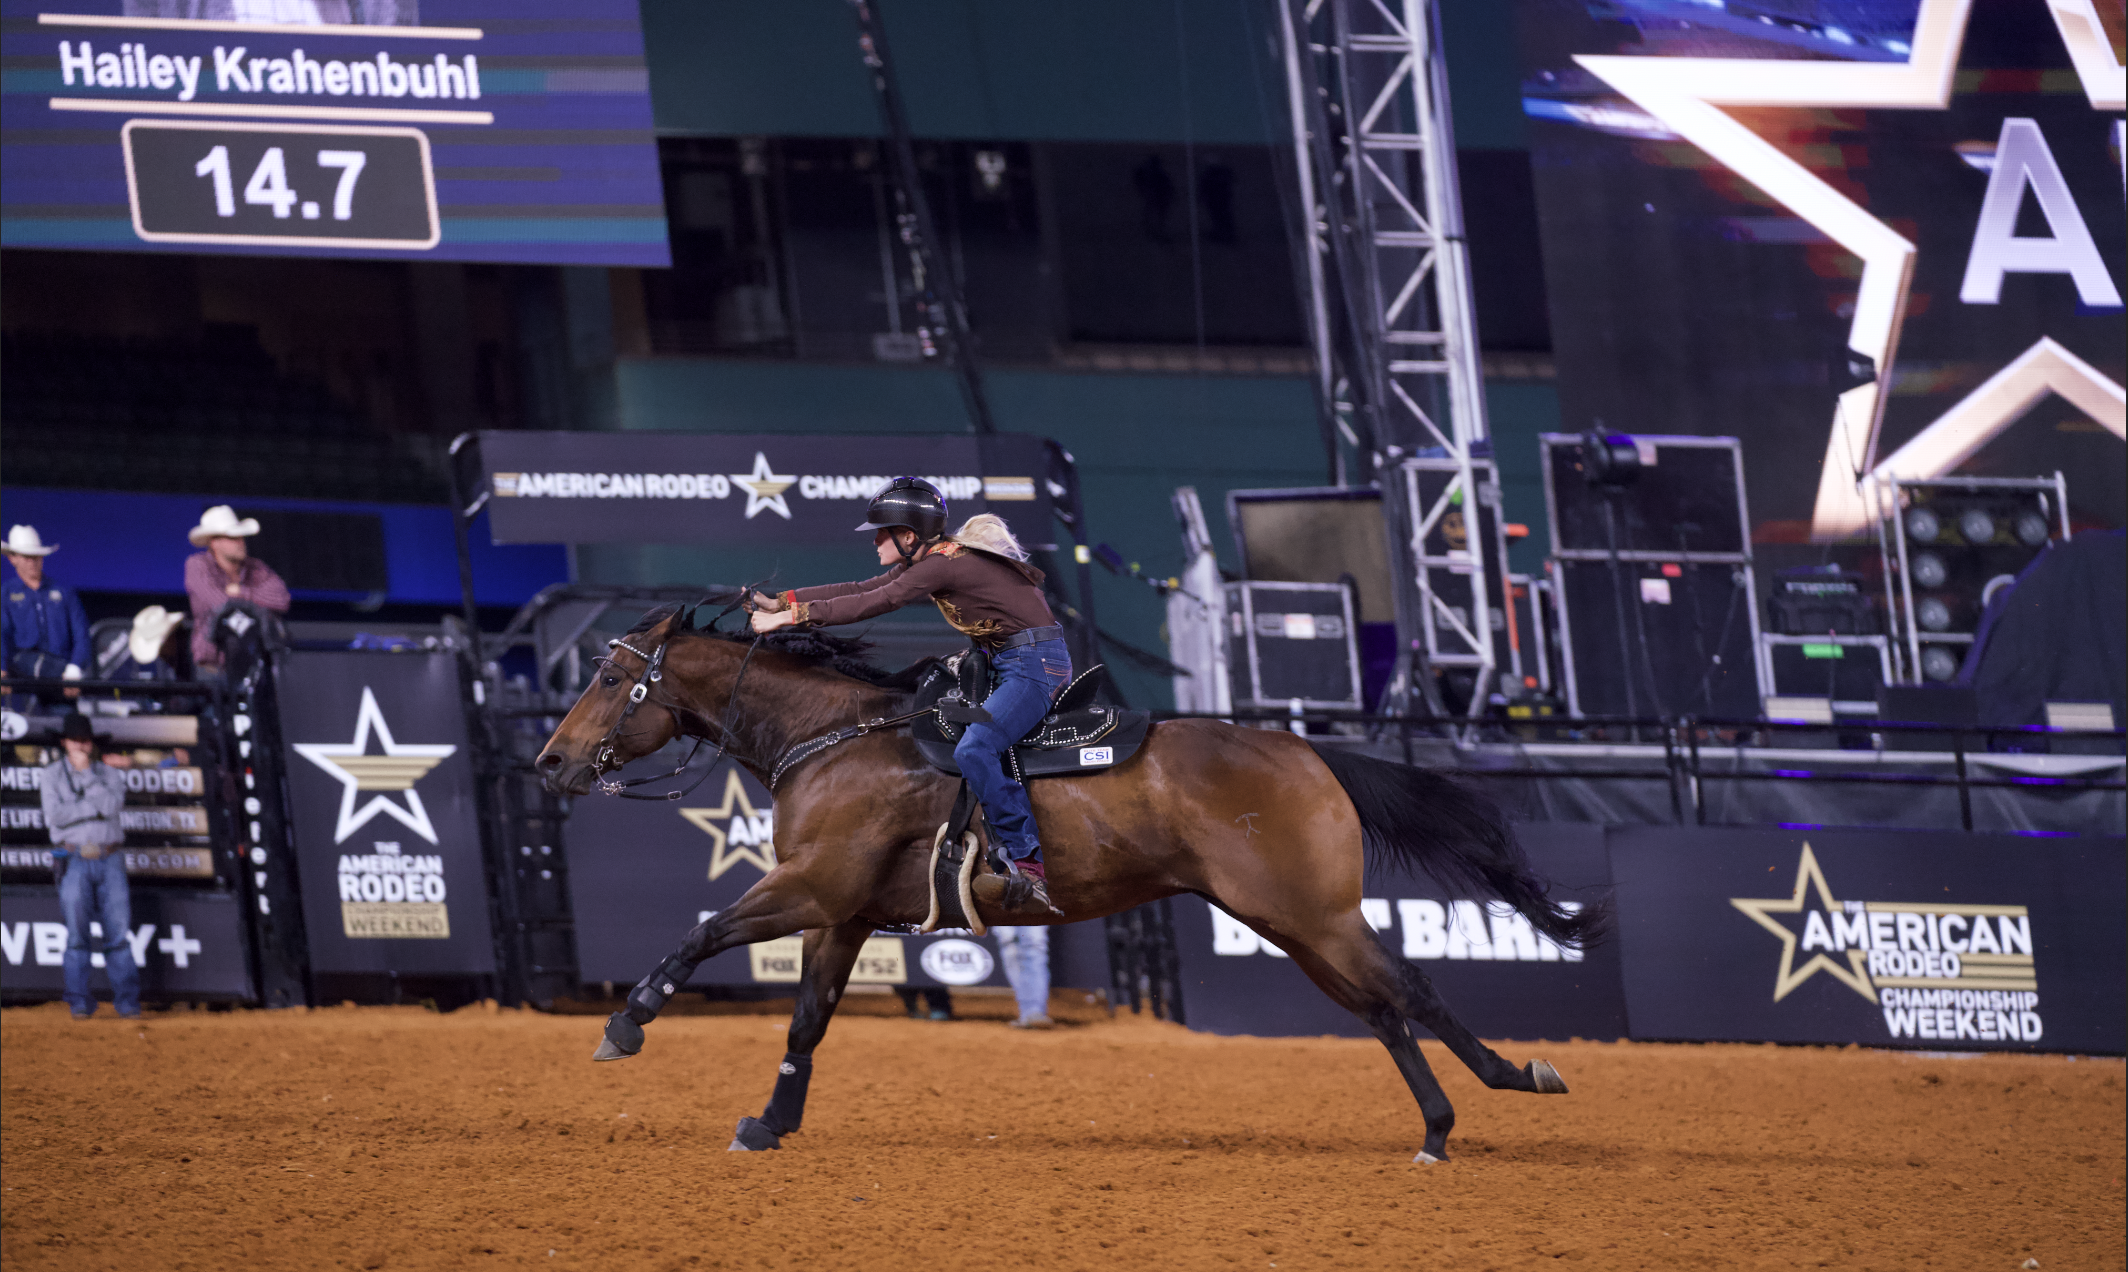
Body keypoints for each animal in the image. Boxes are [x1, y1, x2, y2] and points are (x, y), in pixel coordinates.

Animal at [534, 600, 1606, 1162]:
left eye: (609, 677)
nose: (549, 762)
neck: (835, 741)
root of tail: (1307, 753)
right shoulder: (840, 916)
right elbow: (805, 1024)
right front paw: (770, 1122)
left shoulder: (808, 890)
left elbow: (700, 934)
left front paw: (627, 1023)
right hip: (1292, 925)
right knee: (1382, 1010)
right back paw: (1447, 1120)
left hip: (1314, 913)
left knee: (1410, 990)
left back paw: (1501, 1086)